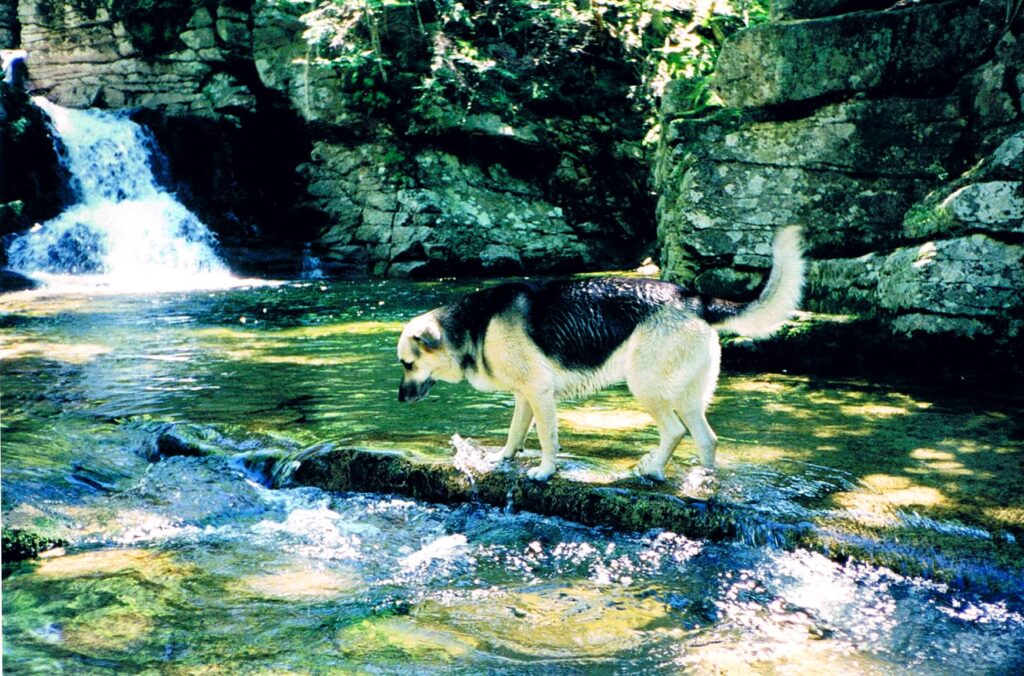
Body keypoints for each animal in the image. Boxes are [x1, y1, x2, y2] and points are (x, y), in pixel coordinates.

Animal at [395, 227, 802, 481]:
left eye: (408, 364)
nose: (399, 398)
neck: (474, 326)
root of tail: (694, 298)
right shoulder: (525, 397)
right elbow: (515, 434)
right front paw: (502, 459)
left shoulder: (539, 394)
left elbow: (547, 439)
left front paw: (545, 472)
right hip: (686, 395)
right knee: (706, 438)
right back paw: (702, 480)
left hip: (647, 386)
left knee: (674, 431)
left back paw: (653, 471)